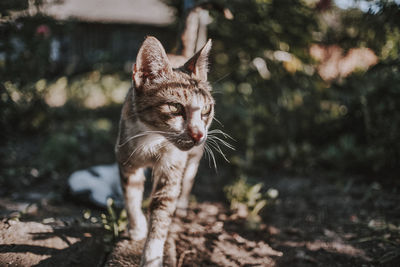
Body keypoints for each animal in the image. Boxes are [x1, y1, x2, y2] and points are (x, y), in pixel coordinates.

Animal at [115, 36, 214, 267]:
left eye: (206, 110)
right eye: (175, 107)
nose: (198, 135)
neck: (152, 138)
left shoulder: (172, 166)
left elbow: (162, 208)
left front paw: (151, 256)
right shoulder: (125, 156)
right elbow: (131, 194)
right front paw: (137, 228)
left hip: (195, 157)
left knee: (188, 176)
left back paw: (182, 205)